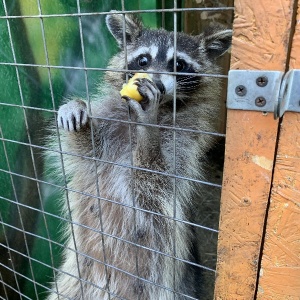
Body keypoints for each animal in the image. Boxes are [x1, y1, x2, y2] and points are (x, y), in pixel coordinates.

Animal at [47, 11, 232, 300]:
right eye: (143, 60)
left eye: (179, 64)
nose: (155, 84)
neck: (165, 107)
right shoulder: (111, 127)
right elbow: (89, 153)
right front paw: (77, 111)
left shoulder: (183, 145)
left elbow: (155, 178)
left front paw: (148, 128)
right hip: (73, 283)